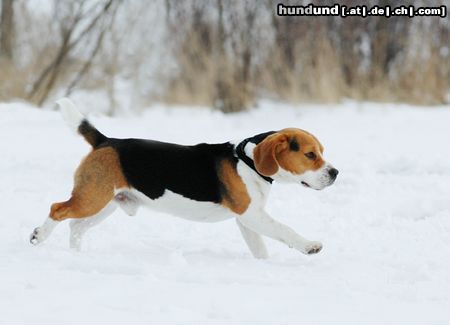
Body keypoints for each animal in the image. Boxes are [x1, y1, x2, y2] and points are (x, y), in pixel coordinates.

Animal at [29, 97, 338, 256]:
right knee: (57, 209)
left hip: (105, 204)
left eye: (322, 152)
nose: (335, 173)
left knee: (75, 227)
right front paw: (309, 245)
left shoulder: (249, 220)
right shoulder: (252, 215)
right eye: (310, 155)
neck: (247, 160)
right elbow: (285, 230)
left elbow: (260, 248)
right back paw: (39, 236)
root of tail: (106, 141)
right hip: (91, 199)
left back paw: (76, 254)